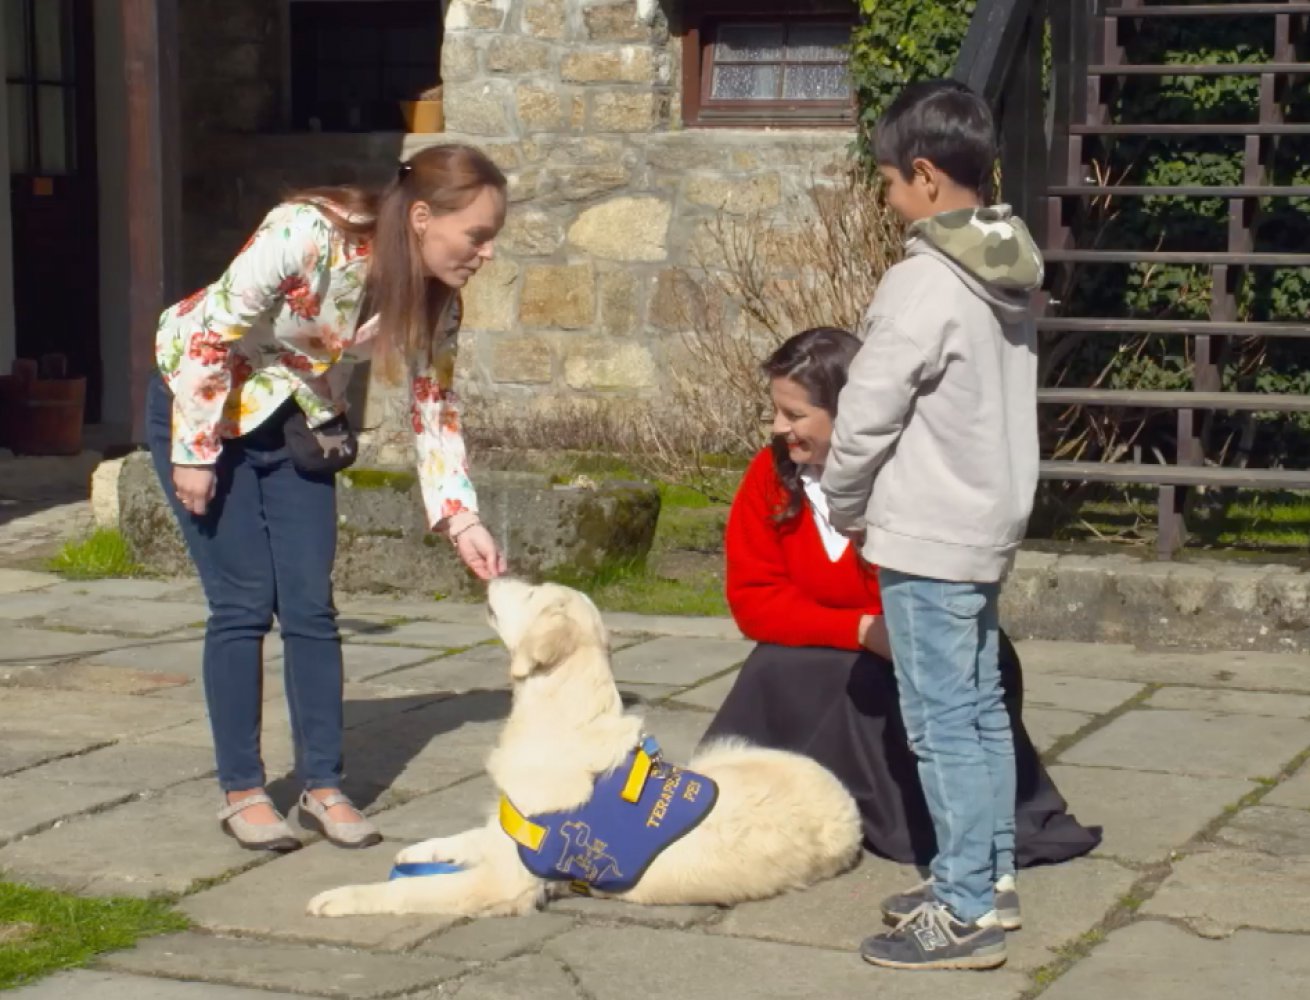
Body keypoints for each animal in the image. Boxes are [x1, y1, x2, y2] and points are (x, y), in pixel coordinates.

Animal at [306, 579, 861, 917]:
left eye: (531, 590)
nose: (492, 572)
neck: (557, 720)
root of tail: (846, 796)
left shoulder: (508, 880)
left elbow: (413, 887)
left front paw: (340, 896)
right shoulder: (511, 831)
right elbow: (468, 836)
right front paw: (421, 847)